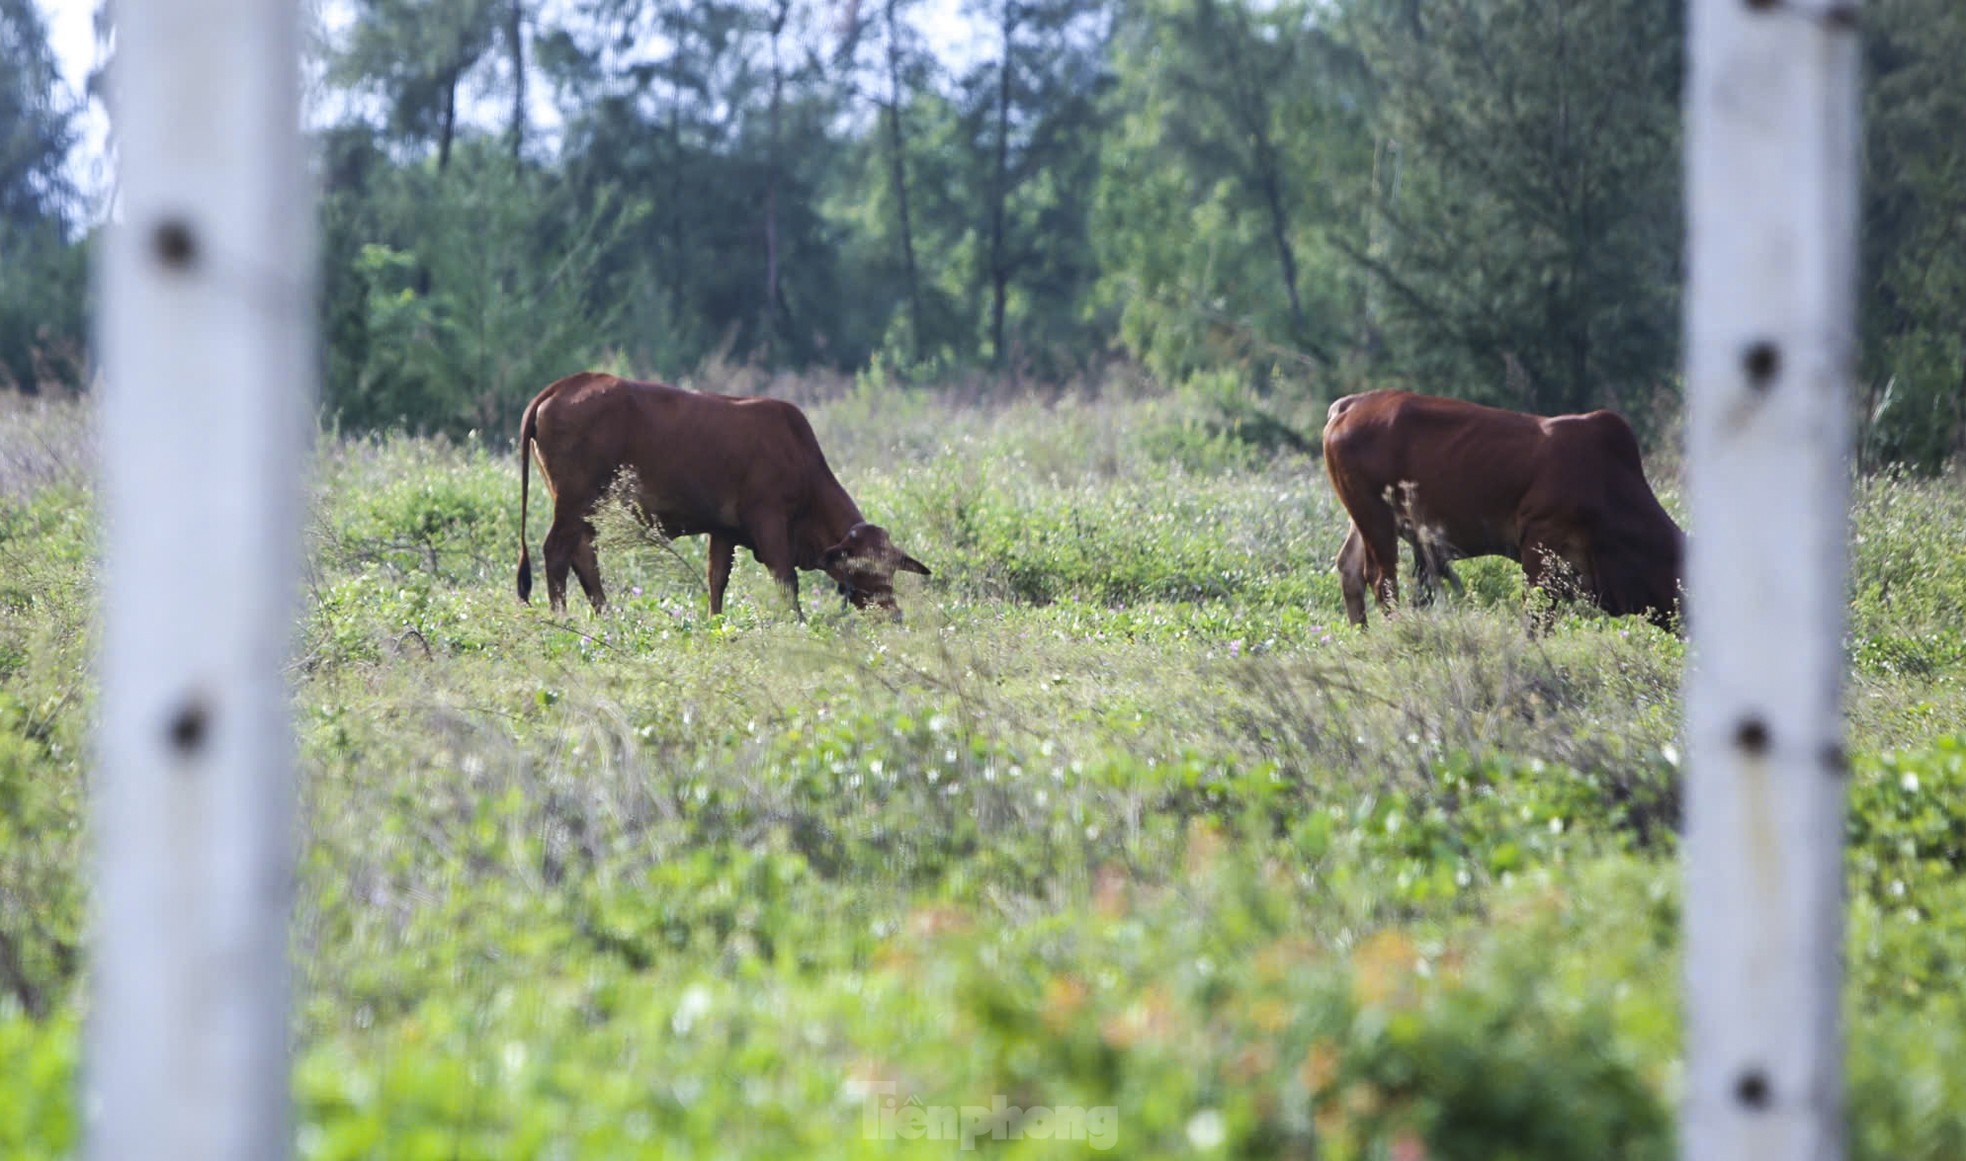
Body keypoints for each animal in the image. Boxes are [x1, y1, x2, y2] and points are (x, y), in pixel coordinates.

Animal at [515, 377, 927, 620]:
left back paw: (606, 615)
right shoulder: (769, 523)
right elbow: (787, 581)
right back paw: (562, 616)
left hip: (586, 508)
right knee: (557, 551)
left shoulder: (724, 532)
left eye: (891, 568)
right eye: (865, 567)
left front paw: (716, 623)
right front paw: (797, 623)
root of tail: (565, 385)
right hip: (574, 501)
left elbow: (717, 581)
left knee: (583, 554)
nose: (893, 613)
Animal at [1313, 388, 1682, 628]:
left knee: (1349, 569)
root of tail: (1348, 405)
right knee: (1381, 578)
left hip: (1362, 518)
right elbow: (1537, 613)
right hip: (1376, 517)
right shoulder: (1540, 542)